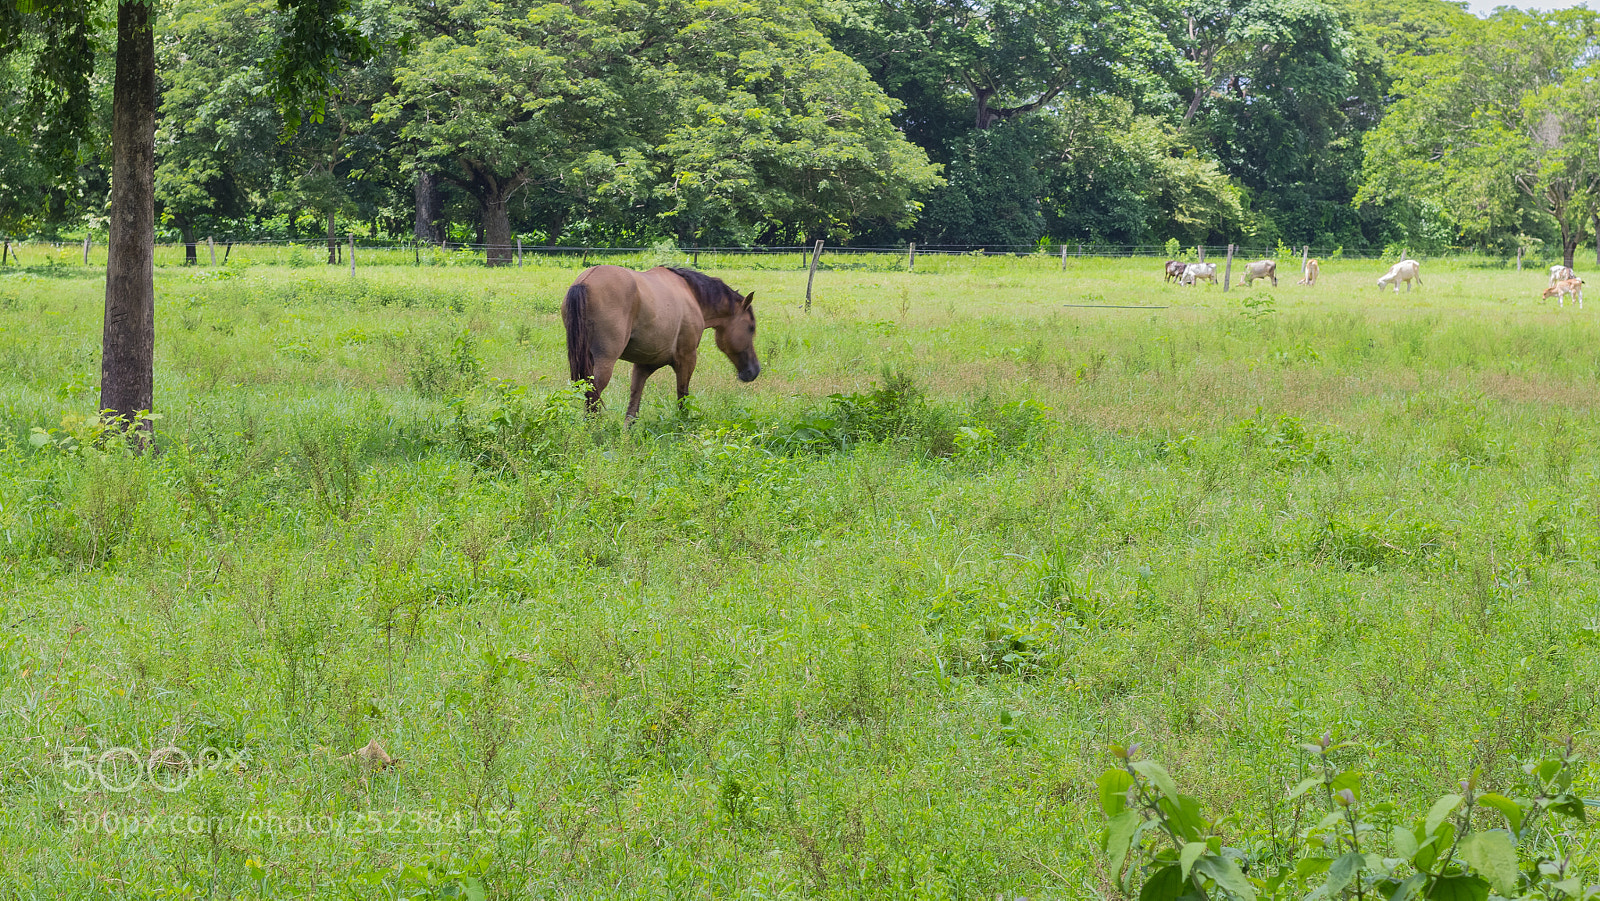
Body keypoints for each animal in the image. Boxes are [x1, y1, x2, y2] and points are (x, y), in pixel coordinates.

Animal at [562, 265, 760, 420]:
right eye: (751, 328)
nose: (754, 370)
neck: (691, 294)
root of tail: (585, 281)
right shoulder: (687, 359)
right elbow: (683, 398)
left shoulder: (643, 365)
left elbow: (633, 408)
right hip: (605, 362)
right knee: (592, 396)